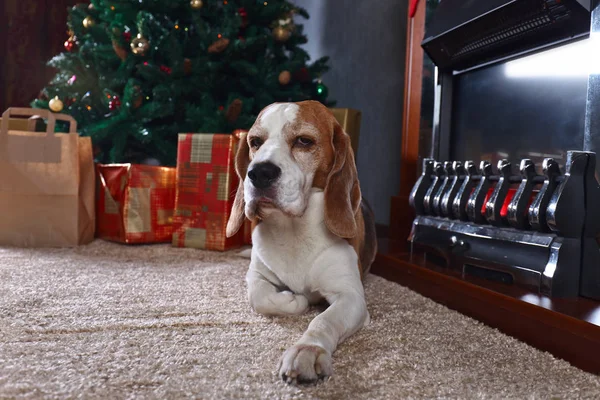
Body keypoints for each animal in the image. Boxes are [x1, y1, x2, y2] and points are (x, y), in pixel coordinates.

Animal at [225, 99, 376, 384]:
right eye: (255, 142)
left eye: (304, 141)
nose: (258, 173)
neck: (294, 231)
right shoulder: (257, 275)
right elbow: (259, 296)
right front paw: (294, 301)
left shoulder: (351, 297)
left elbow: (323, 322)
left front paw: (308, 350)